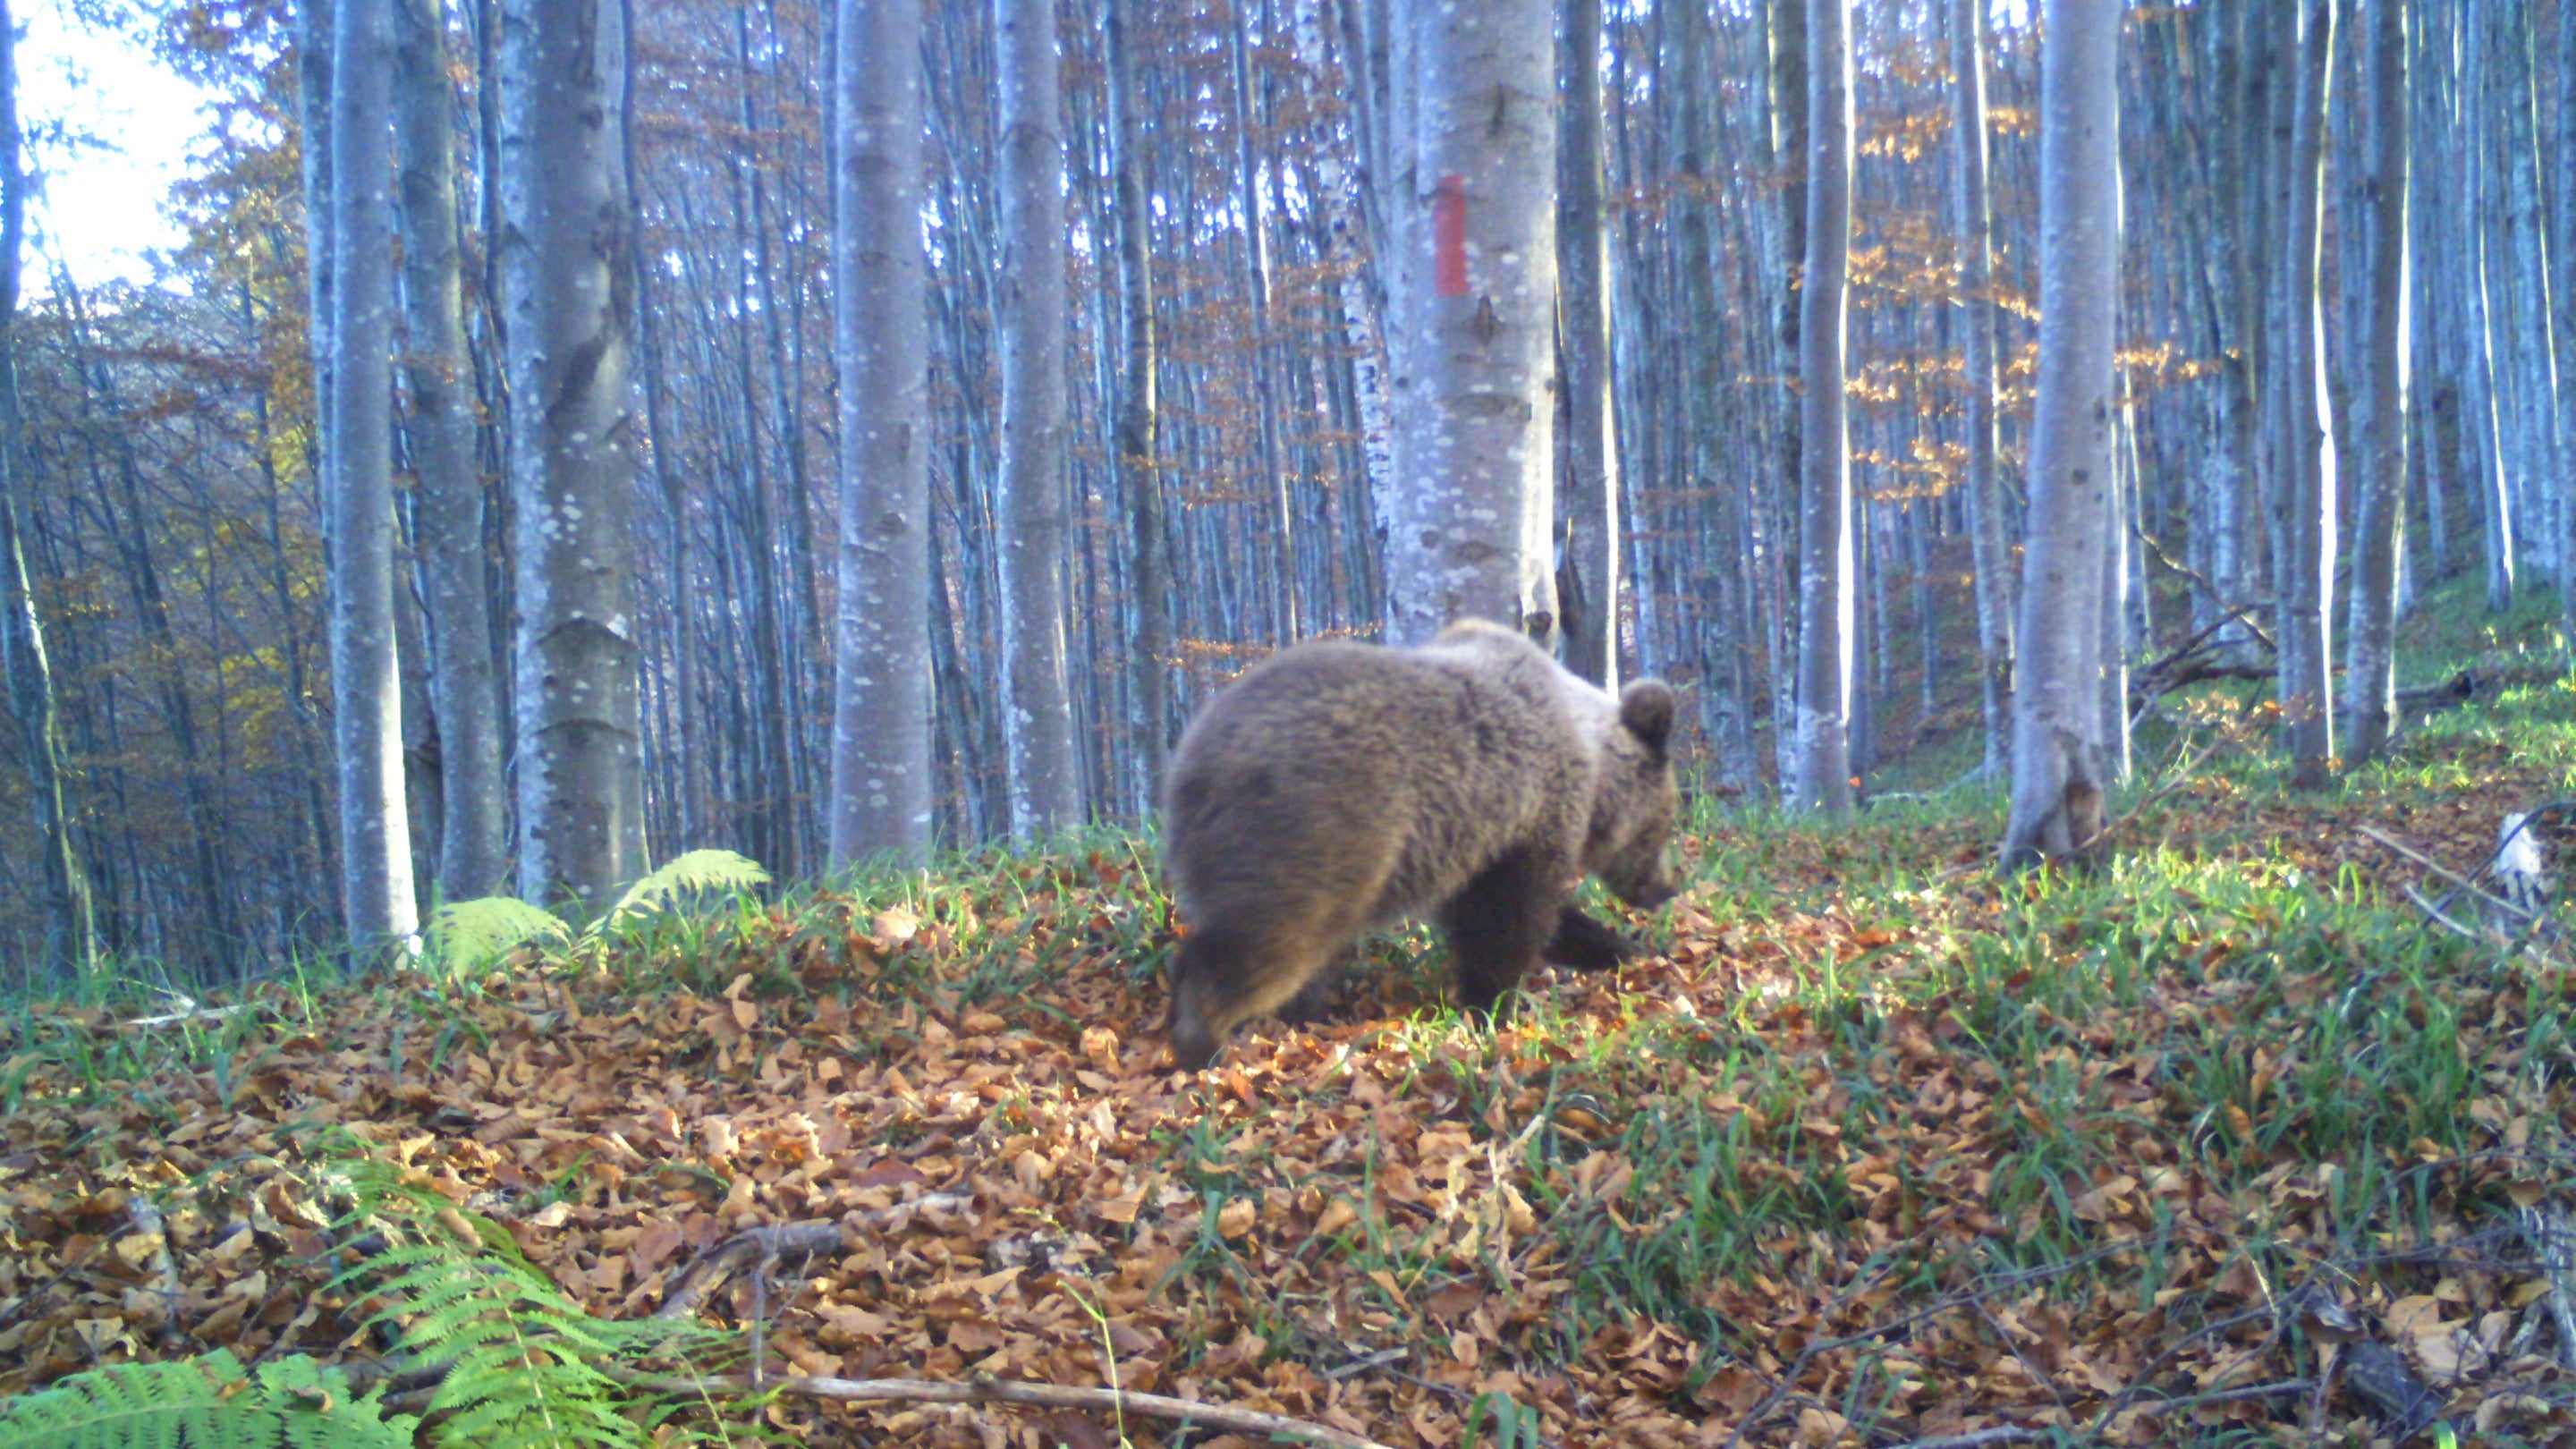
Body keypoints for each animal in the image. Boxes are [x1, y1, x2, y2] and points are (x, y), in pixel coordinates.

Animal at [1159, 617, 1682, 1070]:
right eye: (1663, 826)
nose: (1665, 888)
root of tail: (1191, 769)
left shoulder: (1466, 842)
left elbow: (1520, 916)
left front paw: (1620, 947)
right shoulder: (1523, 819)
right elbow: (1512, 920)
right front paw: (1494, 1004)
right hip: (1317, 833)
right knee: (1274, 943)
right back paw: (1202, 1037)